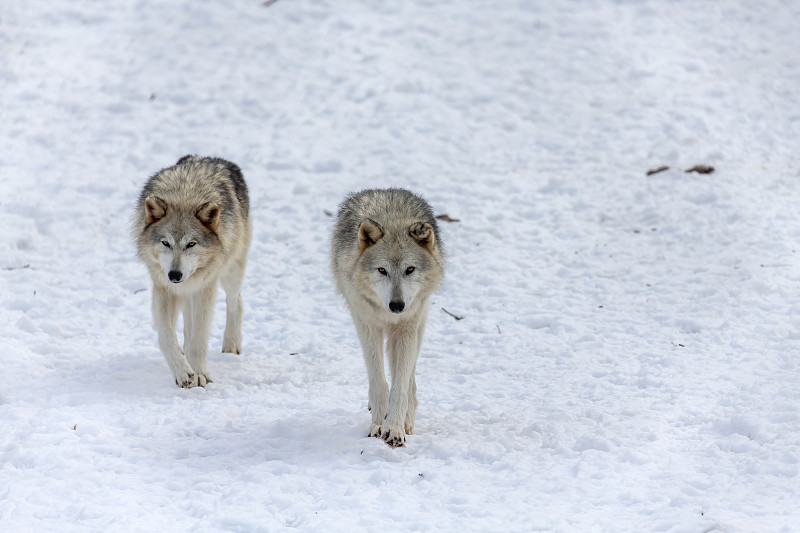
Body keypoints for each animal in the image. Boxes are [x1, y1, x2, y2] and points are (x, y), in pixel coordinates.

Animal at [134, 154, 252, 386]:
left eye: (191, 244)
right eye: (166, 243)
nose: (175, 275)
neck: (185, 197)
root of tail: (209, 157)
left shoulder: (204, 288)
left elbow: (199, 337)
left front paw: (198, 373)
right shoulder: (164, 289)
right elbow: (166, 336)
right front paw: (182, 370)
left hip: (230, 272)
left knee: (236, 301)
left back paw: (231, 345)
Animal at [330, 187, 444, 444]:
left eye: (410, 269)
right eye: (382, 270)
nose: (397, 306)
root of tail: (385, 189)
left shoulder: (407, 328)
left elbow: (400, 387)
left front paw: (394, 428)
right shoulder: (367, 327)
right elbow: (379, 383)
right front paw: (378, 426)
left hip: (414, 328)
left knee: (409, 382)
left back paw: (407, 422)